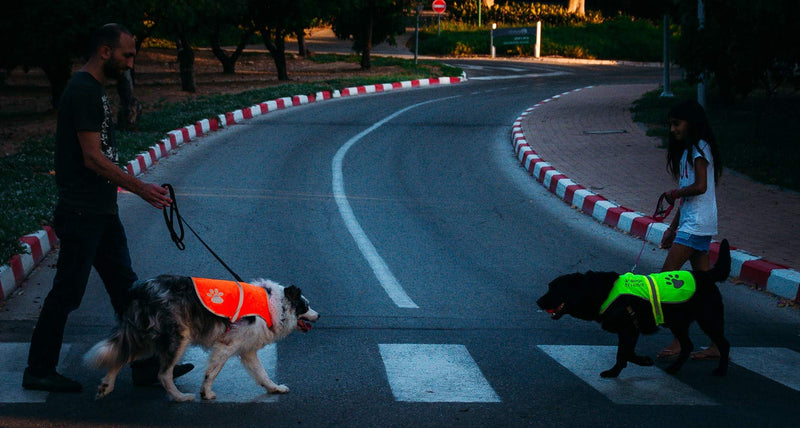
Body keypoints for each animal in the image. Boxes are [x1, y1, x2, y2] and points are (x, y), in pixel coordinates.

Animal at [536, 241, 732, 378]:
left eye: (553, 289)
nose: (537, 302)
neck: (599, 292)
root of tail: (706, 275)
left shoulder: (629, 329)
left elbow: (625, 353)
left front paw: (640, 362)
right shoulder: (630, 331)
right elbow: (623, 353)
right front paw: (616, 372)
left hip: (708, 320)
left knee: (723, 344)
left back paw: (721, 370)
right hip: (678, 323)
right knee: (687, 345)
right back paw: (674, 368)